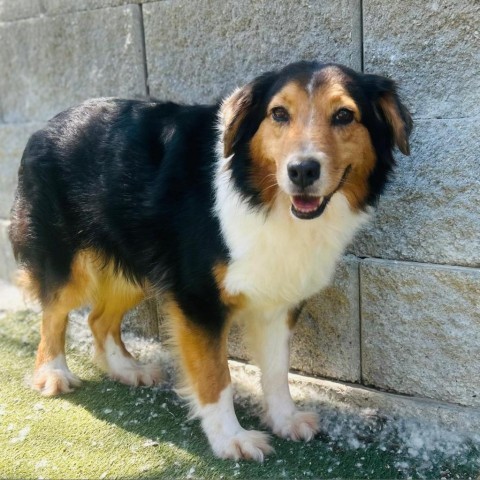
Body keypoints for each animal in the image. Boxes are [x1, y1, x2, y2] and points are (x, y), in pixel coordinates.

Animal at [8, 61, 412, 462]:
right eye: (279, 114)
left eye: (344, 115)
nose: (302, 171)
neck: (257, 193)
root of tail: (47, 125)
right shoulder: (197, 300)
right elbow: (216, 377)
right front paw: (231, 439)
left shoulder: (277, 301)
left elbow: (277, 370)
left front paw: (284, 419)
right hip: (68, 265)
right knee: (54, 314)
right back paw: (53, 373)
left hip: (136, 265)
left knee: (97, 319)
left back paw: (125, 369)